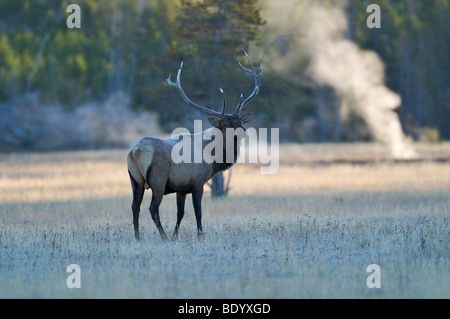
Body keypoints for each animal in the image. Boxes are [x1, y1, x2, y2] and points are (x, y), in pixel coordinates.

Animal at [125, 52, 260, 241]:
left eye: (239, 121)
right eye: (225, 124)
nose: (243, 132)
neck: (213, 160)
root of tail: (136, 151)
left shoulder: (181, 188)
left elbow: (180, 213)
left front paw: (176, 235)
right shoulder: (197, 182)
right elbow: (198, 212)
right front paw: (200, 235)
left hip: (135, 179)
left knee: (134, 207)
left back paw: (138, 238)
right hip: (158, 180)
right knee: (152, 209)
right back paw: (163, 237)